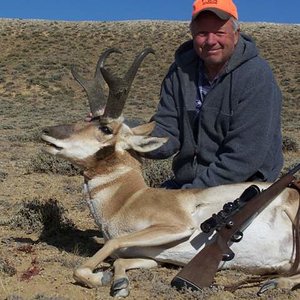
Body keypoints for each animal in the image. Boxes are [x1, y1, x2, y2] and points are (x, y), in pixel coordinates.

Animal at [41, 48, 300, 296]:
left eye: (105, 129)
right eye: (87, 120)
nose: (46, 132)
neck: (129, 199)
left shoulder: (177, 227)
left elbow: (107, 248)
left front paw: (99, 277)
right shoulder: (152, 257)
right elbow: (119, 261)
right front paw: (119, 283)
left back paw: (274, 284)